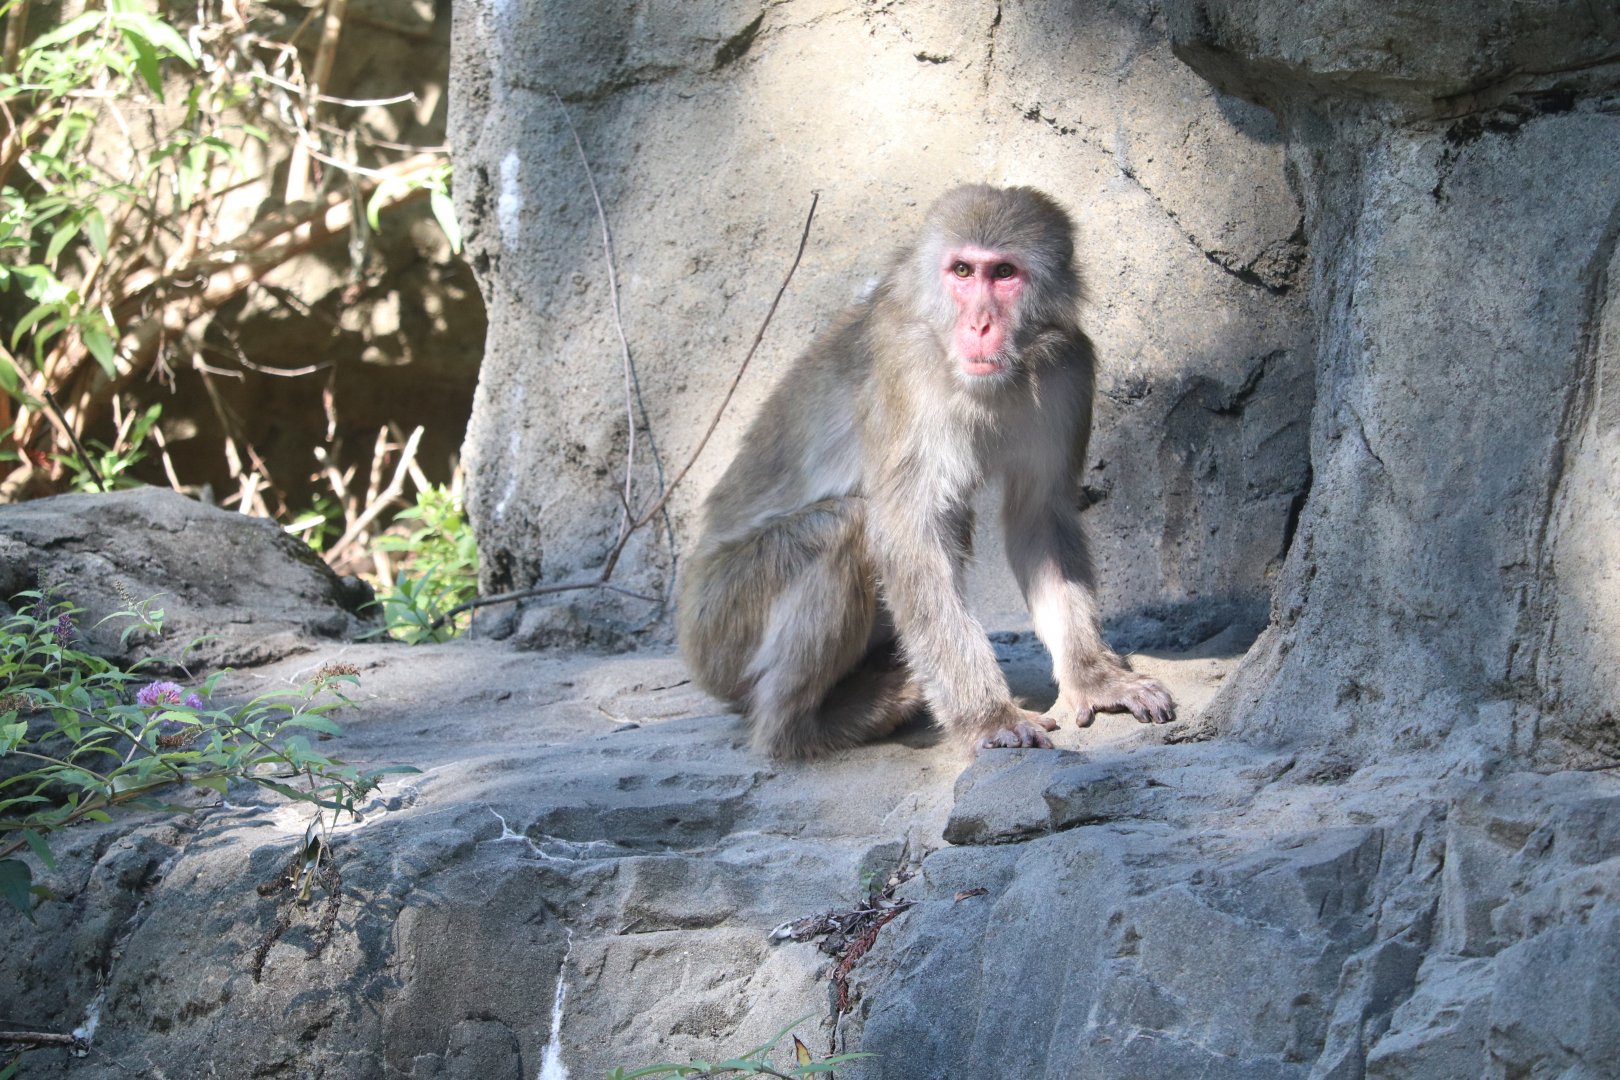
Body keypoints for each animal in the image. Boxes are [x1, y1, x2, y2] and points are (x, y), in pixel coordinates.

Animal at [677, 185, 1175, 758]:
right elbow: (910, 535)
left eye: (1004, 273)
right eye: (962, 270)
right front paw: (988, 717)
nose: (979, 325)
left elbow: (1040, 517)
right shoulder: (907, 369)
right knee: (844, 527)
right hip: (719, 629)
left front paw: (1094, 677)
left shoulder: (1068, 368)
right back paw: (805, 727)